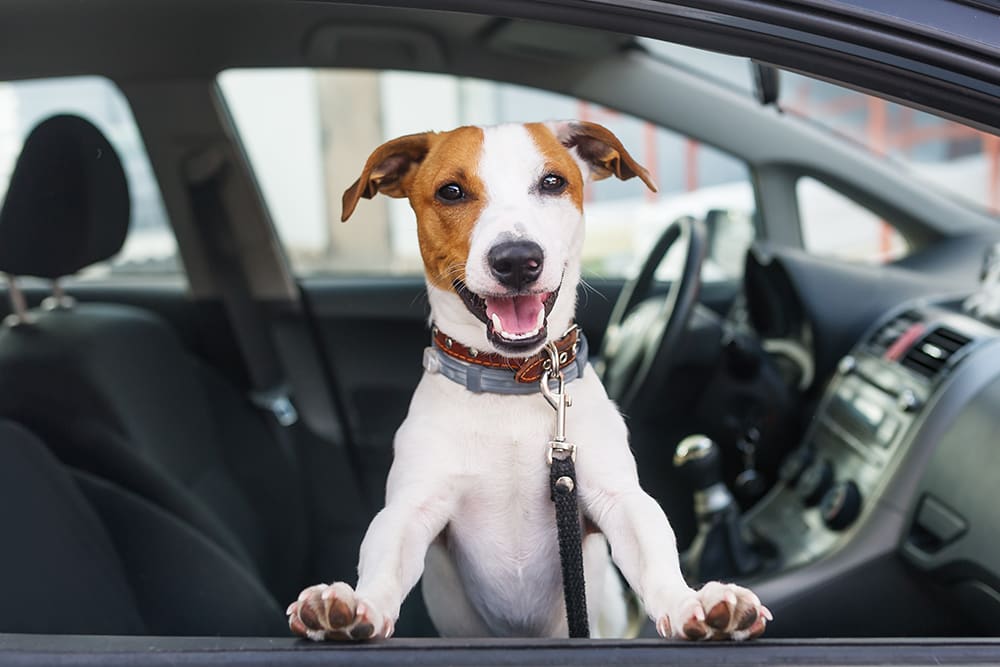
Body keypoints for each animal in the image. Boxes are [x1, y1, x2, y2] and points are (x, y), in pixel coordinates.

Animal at [286, 120, 768, 640]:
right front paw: (356, 607)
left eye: (553, 182)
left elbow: (654, 550)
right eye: (451, 191)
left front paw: (691, 603)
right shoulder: (411, 509)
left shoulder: (617, 498)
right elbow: (384, 560)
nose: (517, 259)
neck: (511, 381)